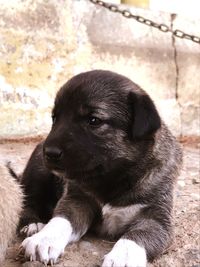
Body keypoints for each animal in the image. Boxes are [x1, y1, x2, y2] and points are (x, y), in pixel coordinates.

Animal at [19, 70, 182, 267]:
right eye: (55, 118)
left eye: (94, 120)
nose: (49, 152)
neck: (113, 177)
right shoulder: (77, 200)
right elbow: (60, 219)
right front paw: (44, 239)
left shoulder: (157, 218)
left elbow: (137, 235)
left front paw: (123, 256)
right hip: (37, 172)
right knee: (28, 200)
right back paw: (33, 224)